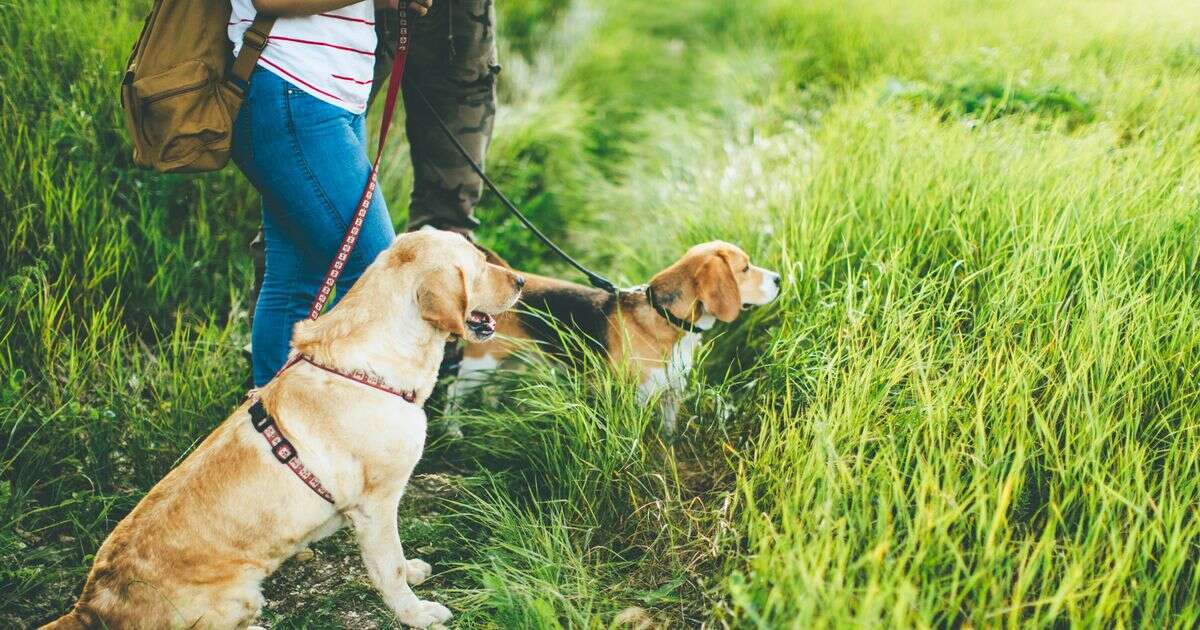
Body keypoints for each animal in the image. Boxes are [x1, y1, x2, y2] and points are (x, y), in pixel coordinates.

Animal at [44, 230, 523, 628]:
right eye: (478, 264)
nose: (520, 280)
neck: (371, 367)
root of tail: (90, 607)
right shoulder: (376, 505)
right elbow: (388, 568)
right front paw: (417, 613)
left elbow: (399, 561)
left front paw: (416, 574)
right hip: (240, 596)